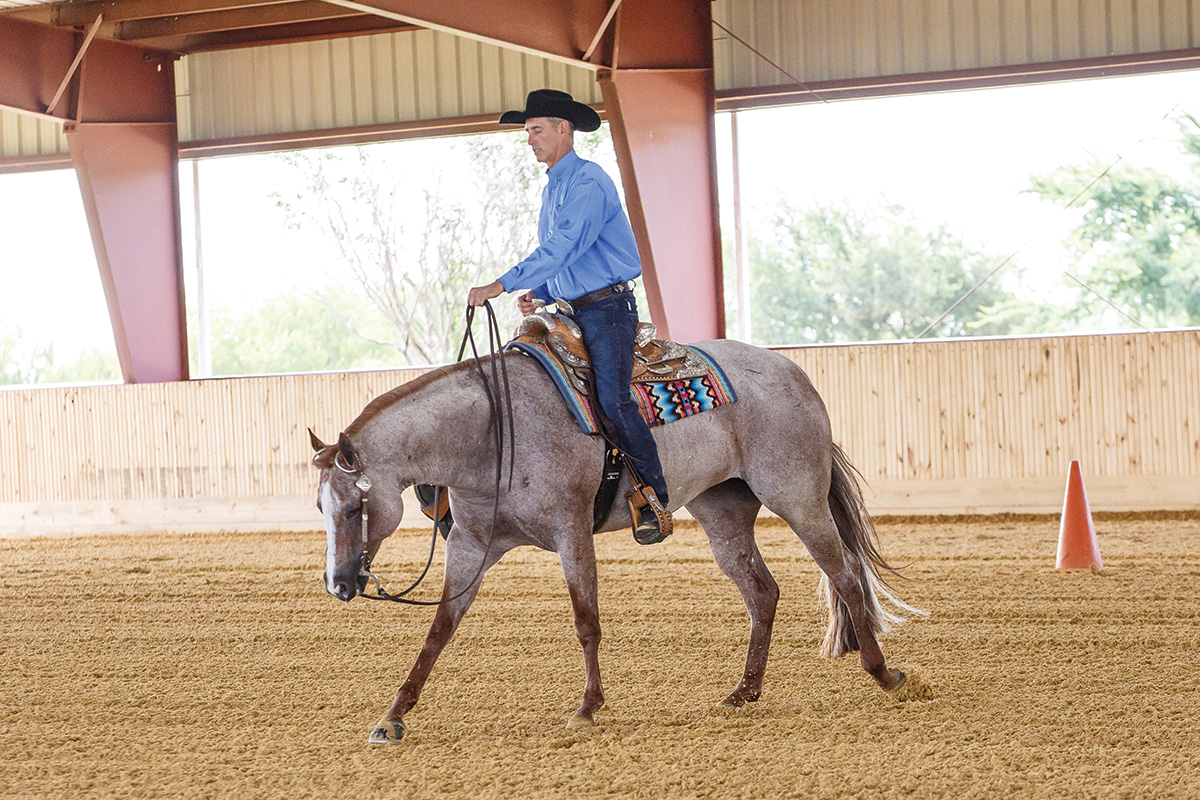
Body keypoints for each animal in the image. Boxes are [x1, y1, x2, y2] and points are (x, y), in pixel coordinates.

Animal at [309, 335, 926, 743]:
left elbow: (586, 621)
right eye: (320, 506)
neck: (492, 434)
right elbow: (439, 629)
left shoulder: (571, 531)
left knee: (844, 574)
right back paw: (744, 691)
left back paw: (887, 675)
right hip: (722, 511)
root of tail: (793, 373)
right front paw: (393, 715)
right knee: (762, 592)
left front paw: (586, 707)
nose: (339, 584)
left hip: (798, 498)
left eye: (356, 504)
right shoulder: (471, 543)